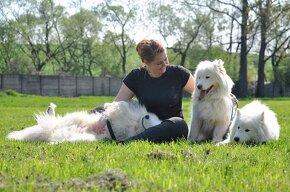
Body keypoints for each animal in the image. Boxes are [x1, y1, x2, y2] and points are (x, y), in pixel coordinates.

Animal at [6, 100, 161, 142]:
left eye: (157, 123)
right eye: (150, 117)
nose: (146, 117)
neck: (136, 124)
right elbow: (120, 105)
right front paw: (107, 108)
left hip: (77, 137)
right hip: (73, 117)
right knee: (51, 117)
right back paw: (51, 108)